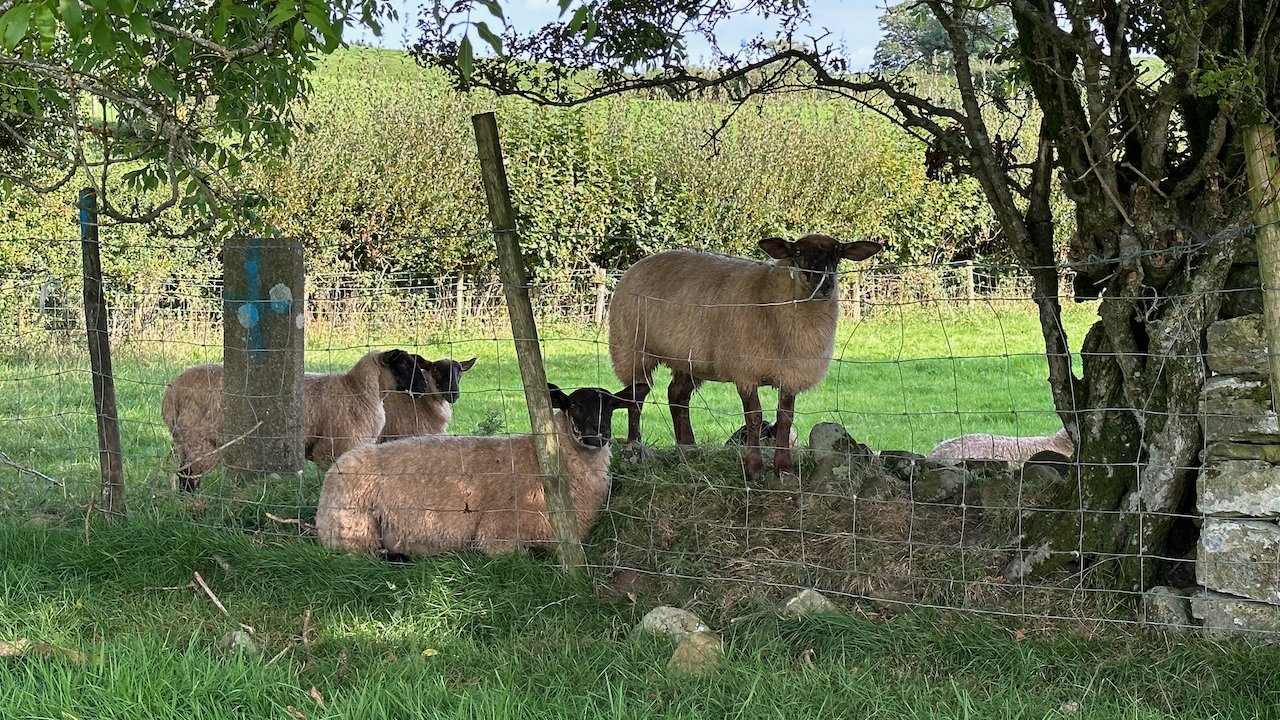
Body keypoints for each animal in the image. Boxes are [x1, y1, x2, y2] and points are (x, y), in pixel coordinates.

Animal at [162, 349, 428, 491]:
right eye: (405, 364)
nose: (424, 386)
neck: (356, 390)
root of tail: (171, 393)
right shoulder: (336, 449)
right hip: (200, 441)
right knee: (188, 477)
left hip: (184, 441)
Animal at [315, 383, 644, 557]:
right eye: (573, 405)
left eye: (611, 406)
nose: (598, 434)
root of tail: (335, 469)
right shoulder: (497, 537)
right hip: (354, 530)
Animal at [608, 233, 882, 482]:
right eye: (797, 252)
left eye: (837, 254)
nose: (823, 284)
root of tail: (639, 264)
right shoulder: (746, 371)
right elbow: (754, 419)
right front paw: (754, 470)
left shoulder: (790, 373)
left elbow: (785, 419)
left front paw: (784, 467)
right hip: (631, 349)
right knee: (636, 397)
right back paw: (635, 445)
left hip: (689, 360)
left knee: (677, 397)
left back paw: (689, 450)